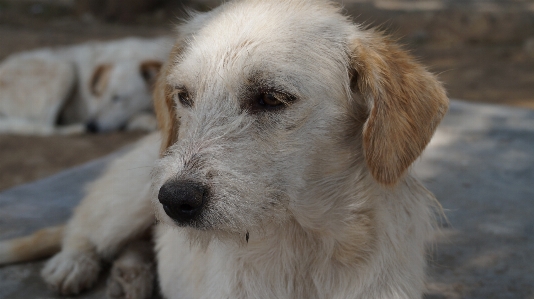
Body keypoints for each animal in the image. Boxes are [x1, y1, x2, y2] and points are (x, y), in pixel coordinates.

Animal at [0, 37, 173, 135]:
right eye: (97, 94)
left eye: (117, 98)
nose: (91, 126)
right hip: (65, 68)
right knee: (46, 125)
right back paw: (75, 129)